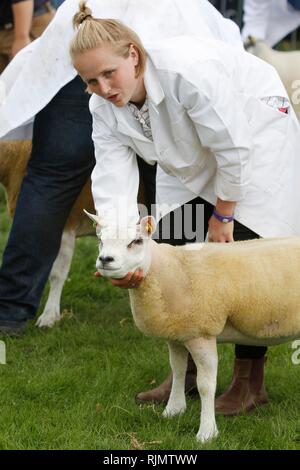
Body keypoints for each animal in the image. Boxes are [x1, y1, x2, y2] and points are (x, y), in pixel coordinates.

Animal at [84, 213, 300, 444]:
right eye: (100, 241)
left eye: (136, 241)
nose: (105, 259)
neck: (169, 268)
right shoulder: (176, 333)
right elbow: (178, 370)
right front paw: (173, 410)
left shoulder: (202, 332)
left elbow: (206, 386)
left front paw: (207, 432)